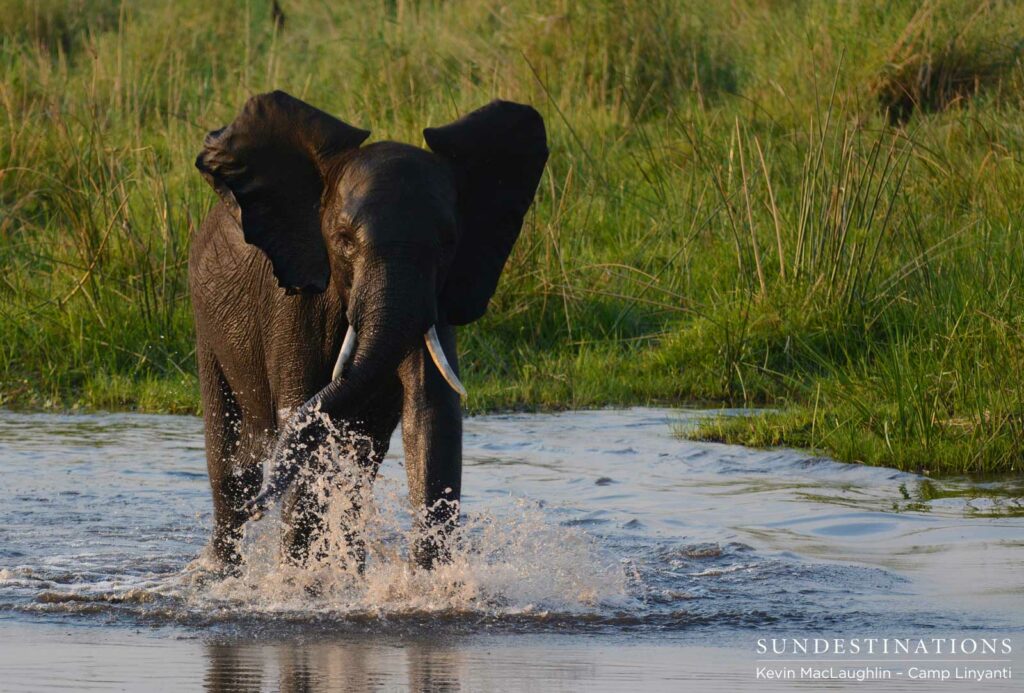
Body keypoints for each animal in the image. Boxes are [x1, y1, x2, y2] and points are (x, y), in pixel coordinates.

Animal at [189, 91, 548, 569]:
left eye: (449, 243)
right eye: (343, 240)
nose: (260, 507)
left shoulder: (434, 300)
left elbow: (431, 413)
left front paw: (431, 580)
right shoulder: (291, 304)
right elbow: (302, 411)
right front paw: (301, 580)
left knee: (358, 464)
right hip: (207, 321)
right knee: (230, 460)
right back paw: (220, 569)